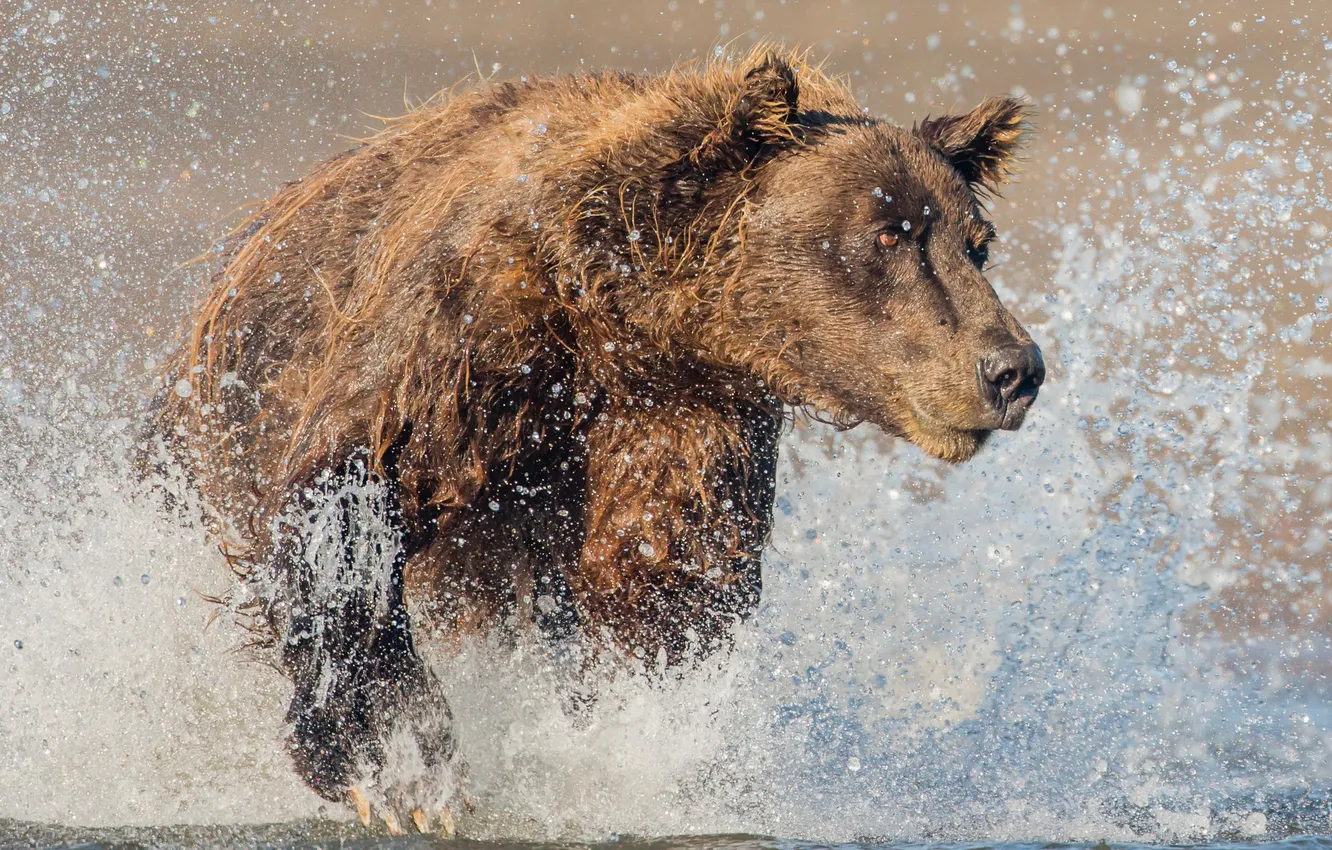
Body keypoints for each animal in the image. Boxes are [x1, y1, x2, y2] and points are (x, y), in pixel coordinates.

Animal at [144, 48, 1043, 833]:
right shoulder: (462, 335)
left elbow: (661, 585)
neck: (623, 309)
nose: (1014, 368)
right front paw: (401, 767)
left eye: (977, 242)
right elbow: (350, 496)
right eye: (889, 232)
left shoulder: (680, 421)